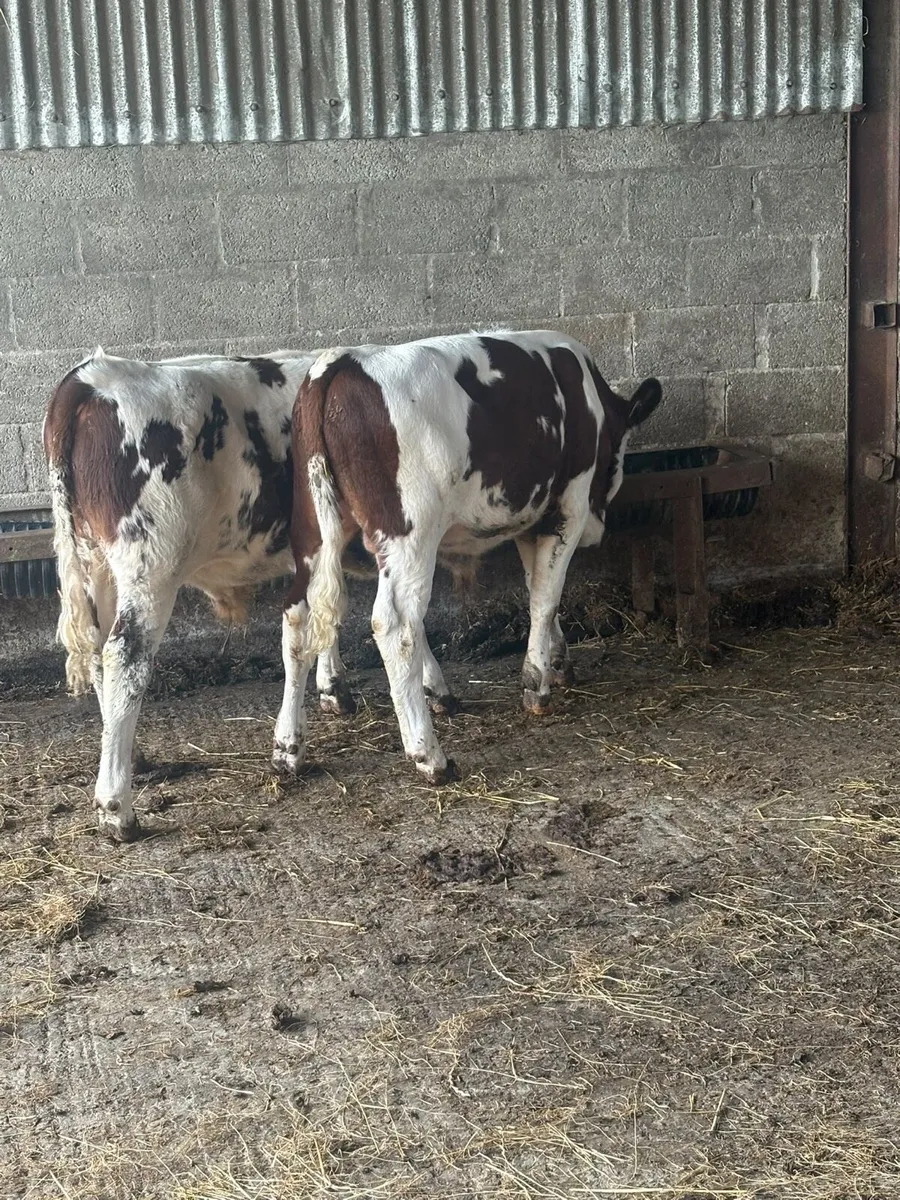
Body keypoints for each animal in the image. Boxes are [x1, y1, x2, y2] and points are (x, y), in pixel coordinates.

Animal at [43, 348, 457, 842]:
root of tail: (91, 377)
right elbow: (397, 619)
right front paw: (433, 685)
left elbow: (328, 613)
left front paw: (333, 686)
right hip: (149, 567)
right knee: (125, 658)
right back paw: (116, 808)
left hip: (97, 567)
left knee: (99, 655)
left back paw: (130, 757)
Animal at [275, 330, 662, 785]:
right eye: (619, 451)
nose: (600, 527)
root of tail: (338, 363)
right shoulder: (567, 509)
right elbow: (546, 598)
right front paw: (536, 684)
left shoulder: (529, 520)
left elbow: (537, 585)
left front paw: (558, 660)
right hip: (410, 534)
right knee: (395, 626)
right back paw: (429, 755)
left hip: (312, 535)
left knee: (299, 617)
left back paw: (288, 748)